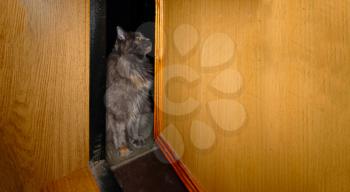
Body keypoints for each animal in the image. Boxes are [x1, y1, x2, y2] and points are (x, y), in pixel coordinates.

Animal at [105, 26, 152, 157]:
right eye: (138, 38)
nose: (150, 40)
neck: (135, 66)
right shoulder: (118, 110)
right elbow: (119, 131)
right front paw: (122, 148)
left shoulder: (138, 103)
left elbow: (134, 125)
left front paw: (135, 138)